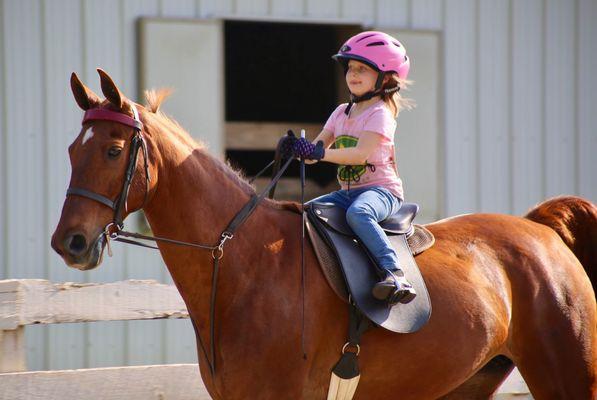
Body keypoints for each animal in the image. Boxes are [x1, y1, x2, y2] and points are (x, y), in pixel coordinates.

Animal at [52, 70, 596, 398]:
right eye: (72, 150)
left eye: (113, 150)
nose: (69, 244)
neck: (244, 266)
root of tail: (537, 227)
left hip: (569, 373)